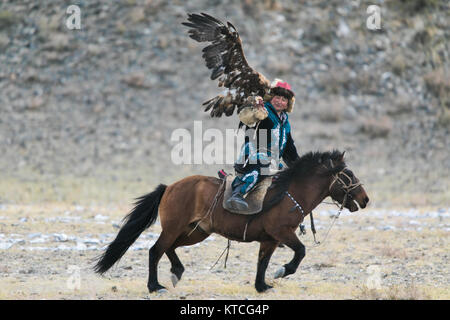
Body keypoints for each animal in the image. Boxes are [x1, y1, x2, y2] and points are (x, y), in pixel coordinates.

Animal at [94, 150, 370, 292]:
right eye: (347, 174)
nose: (365, 199)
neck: (289, 193)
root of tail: (170, 187)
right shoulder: (282, 232)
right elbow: (300, 252)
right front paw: (282, 271)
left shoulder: (269, 240)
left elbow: (262, 262)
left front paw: (262, 286)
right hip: (174, 228)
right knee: (156, 250)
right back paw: (155, 286)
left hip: (196, 232)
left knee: (169, 249)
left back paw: (177, 272)